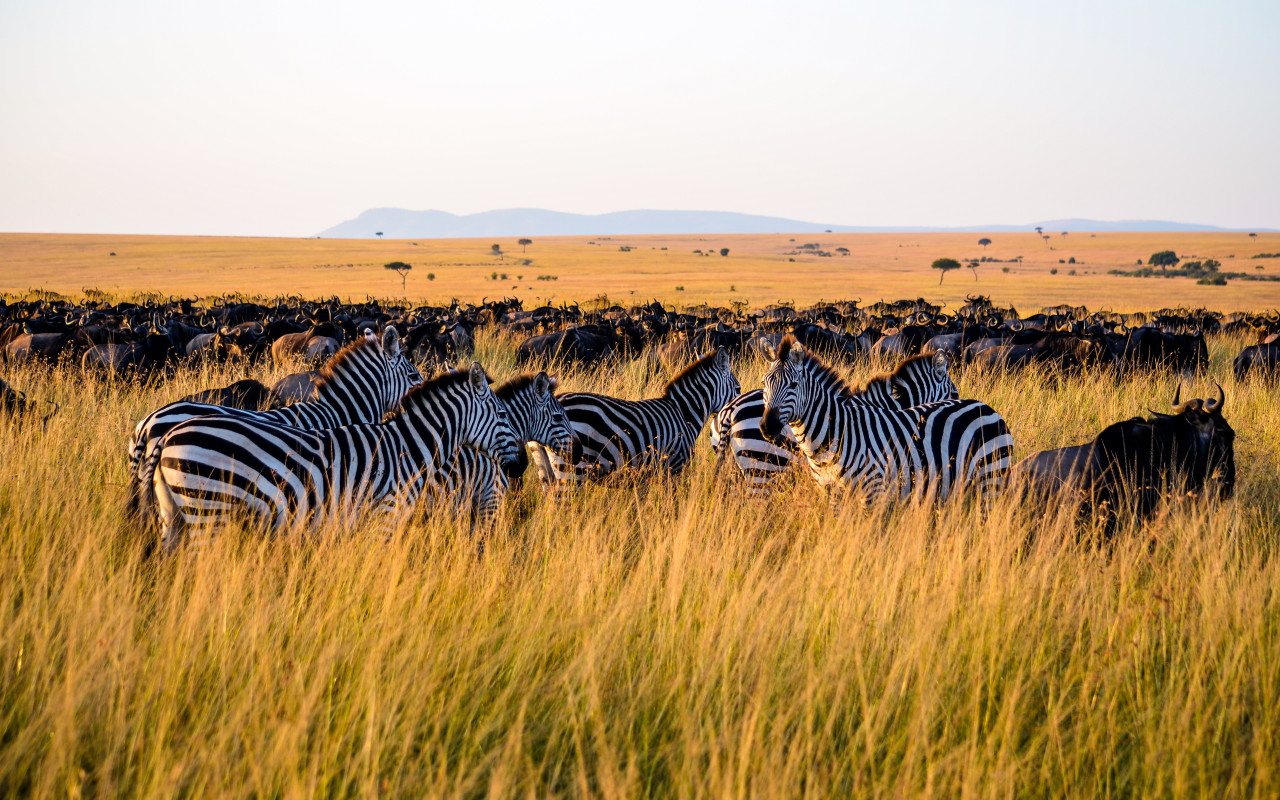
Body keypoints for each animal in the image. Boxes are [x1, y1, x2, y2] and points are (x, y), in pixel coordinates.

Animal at [146, 363, 519, 551]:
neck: (408, 449)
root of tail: (164, 436)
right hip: (208, 510)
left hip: (174, 514)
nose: (521, 467)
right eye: (502, 414)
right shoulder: (384, 517)